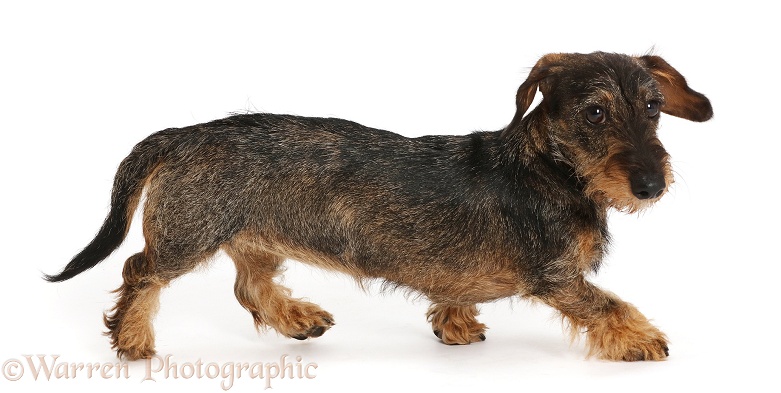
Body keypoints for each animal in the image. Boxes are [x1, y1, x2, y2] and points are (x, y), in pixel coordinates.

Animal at [45, 52, 708, 362]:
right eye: (595, 111)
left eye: (653, 107)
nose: (652, 185)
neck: (549, 168)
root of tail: (184, 134)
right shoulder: (556, 275)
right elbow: (608, 303)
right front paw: (642, 338)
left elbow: (453, 298)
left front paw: (455, 326)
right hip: (189, 233)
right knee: (140, 271)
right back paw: (132, 338)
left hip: (254, 236)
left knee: (250, 286)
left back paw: (297, 319)